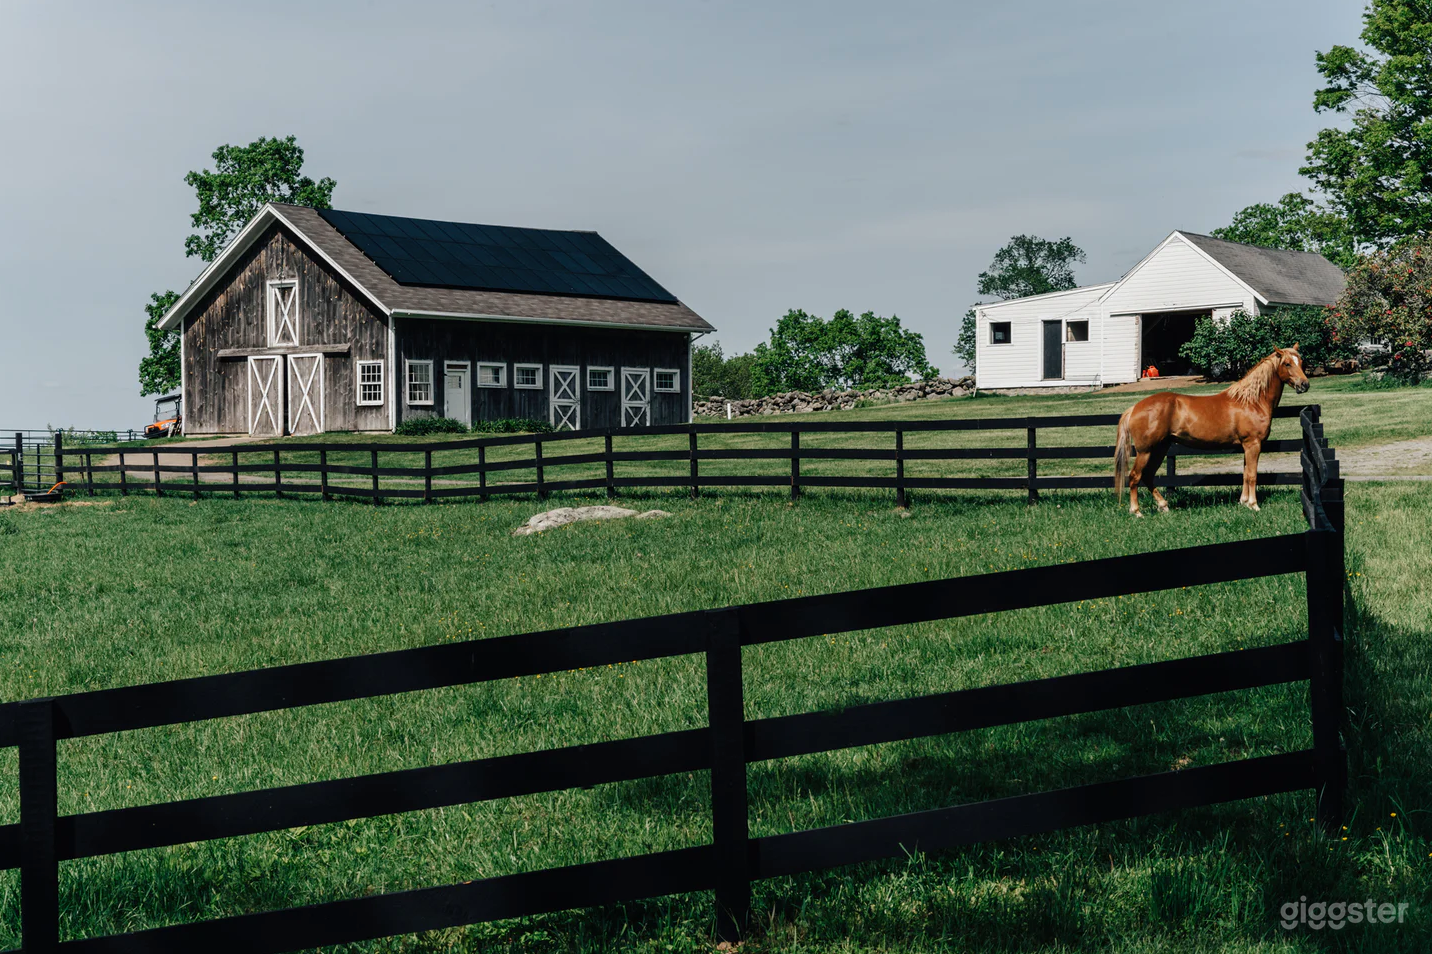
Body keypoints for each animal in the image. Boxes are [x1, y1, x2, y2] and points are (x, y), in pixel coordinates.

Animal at [1113, 345, 1310, 516]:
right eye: (1287, 363)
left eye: (1300, 362)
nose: (1304, 385)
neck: (1251, 401)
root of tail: (1135, 408)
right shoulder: (1253, 444)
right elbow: (1252, 475)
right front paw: (1254, 505)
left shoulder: (1246, 446)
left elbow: (1245, 474)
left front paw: (1244, 502)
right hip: (1145, 451)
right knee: (1135, 476)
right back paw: (1137, 512)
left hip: (1160, 448)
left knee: (1148, 476)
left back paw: (1163, 506)